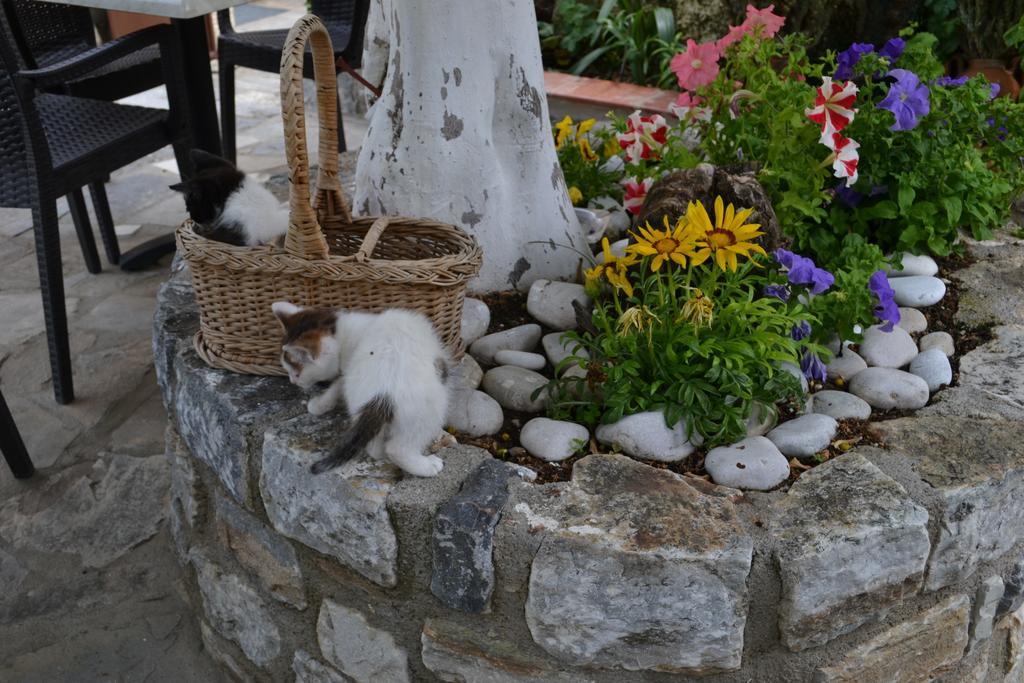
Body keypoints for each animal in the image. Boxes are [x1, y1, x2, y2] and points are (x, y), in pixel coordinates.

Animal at [272, 301, 452, 479]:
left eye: (297, 373)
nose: (292, 380)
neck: (344, 333)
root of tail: (381, 394)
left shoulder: (348, 371)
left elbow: (338, 385)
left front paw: (318, 405)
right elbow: (336, 385)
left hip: (360, 396)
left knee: (374, 446)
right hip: (430, 406)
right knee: (397, 448)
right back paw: (426, 466)